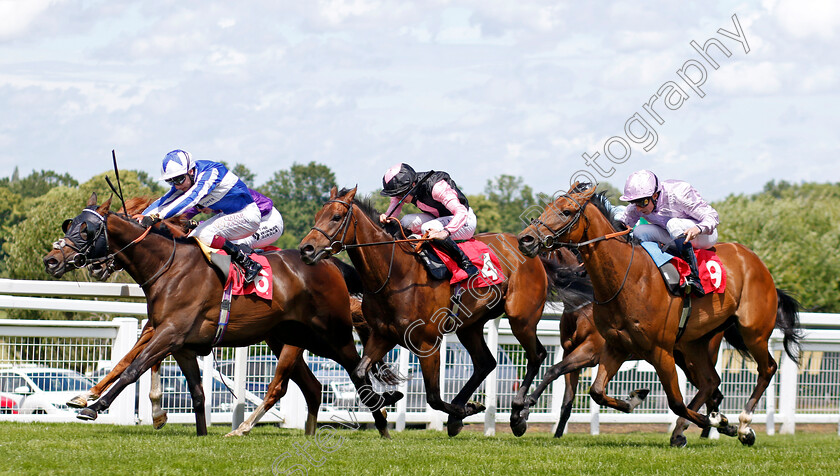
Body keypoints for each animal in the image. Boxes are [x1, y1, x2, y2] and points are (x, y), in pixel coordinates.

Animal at [42, 192, 400, 436]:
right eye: (70, 224)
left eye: (85, 230)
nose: (51, 260)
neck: (168, 265)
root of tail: (329, 263)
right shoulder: (178, 342)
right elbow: (195, 392)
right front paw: (194, 431)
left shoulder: (169, 332)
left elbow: (133, 367)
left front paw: (95, 406)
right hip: (289, 338)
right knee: (314, 387)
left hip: (330, 335)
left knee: (354, 370)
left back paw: (381, 421)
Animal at [298, 185, 556, 436]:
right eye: (317, 216)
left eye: (336, 217)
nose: (305, 249)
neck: (396, 274)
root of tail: (529, 249)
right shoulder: (383, 335)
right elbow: (360, 372)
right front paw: (390, 397)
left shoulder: (427, 343)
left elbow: (433, 397)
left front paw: (467, 409)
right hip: (469, 325)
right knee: (486, 363)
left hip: (521, 318)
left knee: (537, 355)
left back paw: (518, 414)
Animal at [520, 183, 800, 446]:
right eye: (546, 208)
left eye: (566, 211)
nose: (526, 239)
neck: (627, 279)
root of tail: (755, 261)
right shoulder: (614, 345)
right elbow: (594, 390)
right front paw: (634, 399)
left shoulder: (653, 351)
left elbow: (676, 402)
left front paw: (722, 423)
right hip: (693, 345)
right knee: (711, 382)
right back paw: (685, 431)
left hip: (753, 332)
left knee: (766, 369)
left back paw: (742, 426)